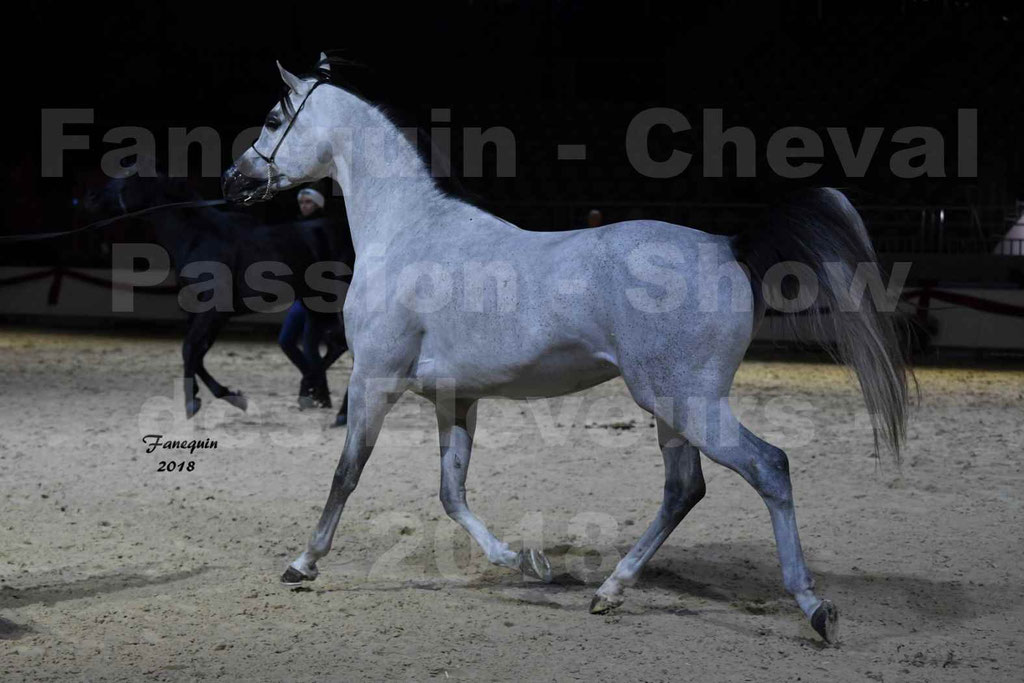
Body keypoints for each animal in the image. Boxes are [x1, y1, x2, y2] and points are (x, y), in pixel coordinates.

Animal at [85, 169, 354, 422]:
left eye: (123, 177)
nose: (90, 198)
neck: (199, 237)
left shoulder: (213, 312)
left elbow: (190, 349)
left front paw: (191, 402)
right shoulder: (203, 313)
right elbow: (196, 353)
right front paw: (230, 397)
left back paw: (331, 405)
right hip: (315, 305)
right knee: (337, 345)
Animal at [221, 55, 909, 644]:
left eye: (276, 119)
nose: (233, 181)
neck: (409, 233)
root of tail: (728, 246)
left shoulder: (372, 381)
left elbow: (347, 473)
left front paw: (303, 564)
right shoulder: (455, 398)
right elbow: (451, 492)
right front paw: (527, 562)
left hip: (686, 402)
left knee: (768, 467)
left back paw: (814, 608)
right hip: (674, 407)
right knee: (684, 489)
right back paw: (609, 590)